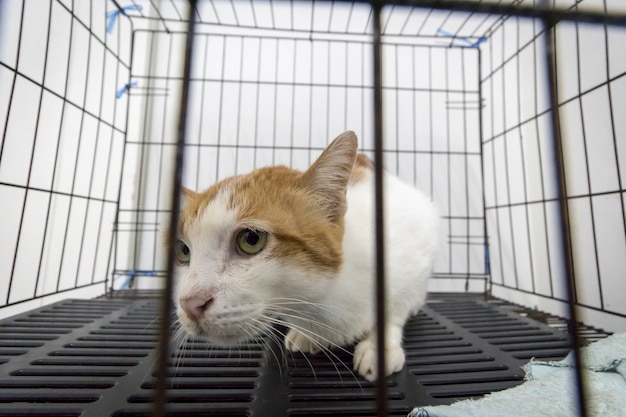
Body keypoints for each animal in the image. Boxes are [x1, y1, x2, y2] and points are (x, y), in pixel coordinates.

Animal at [168, 131, 436, 380]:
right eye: (183, 251)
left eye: (251, 239)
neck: (322, 298)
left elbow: (394, 310)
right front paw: (307, 335)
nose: (190, 304)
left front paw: (380, 347)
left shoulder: (416, 257)